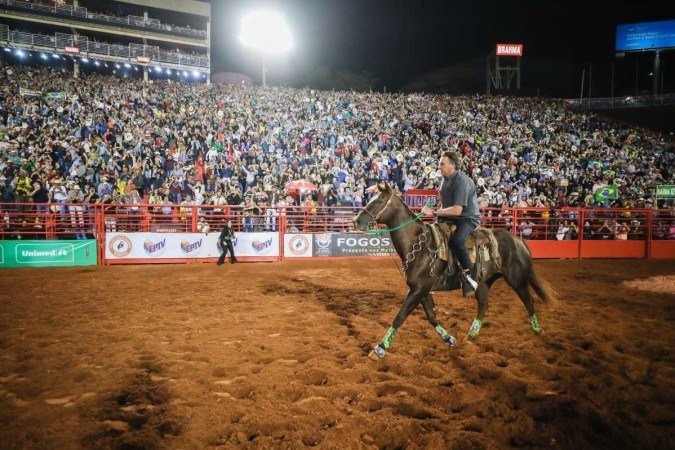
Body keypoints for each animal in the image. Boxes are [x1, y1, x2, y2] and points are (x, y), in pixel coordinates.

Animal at [352, 181, 557, 359]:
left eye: (378, 201)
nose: (356, 221)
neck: (418, 244)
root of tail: (518, 240)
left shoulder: (418, 289)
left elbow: (400, 316)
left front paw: (379, 349)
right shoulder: (421, 289)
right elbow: (431, 316)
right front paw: (449, 339)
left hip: (517, 280)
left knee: (529, 301)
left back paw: (537, 331)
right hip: (483, 283)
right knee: (483, 306)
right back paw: (471, 336)